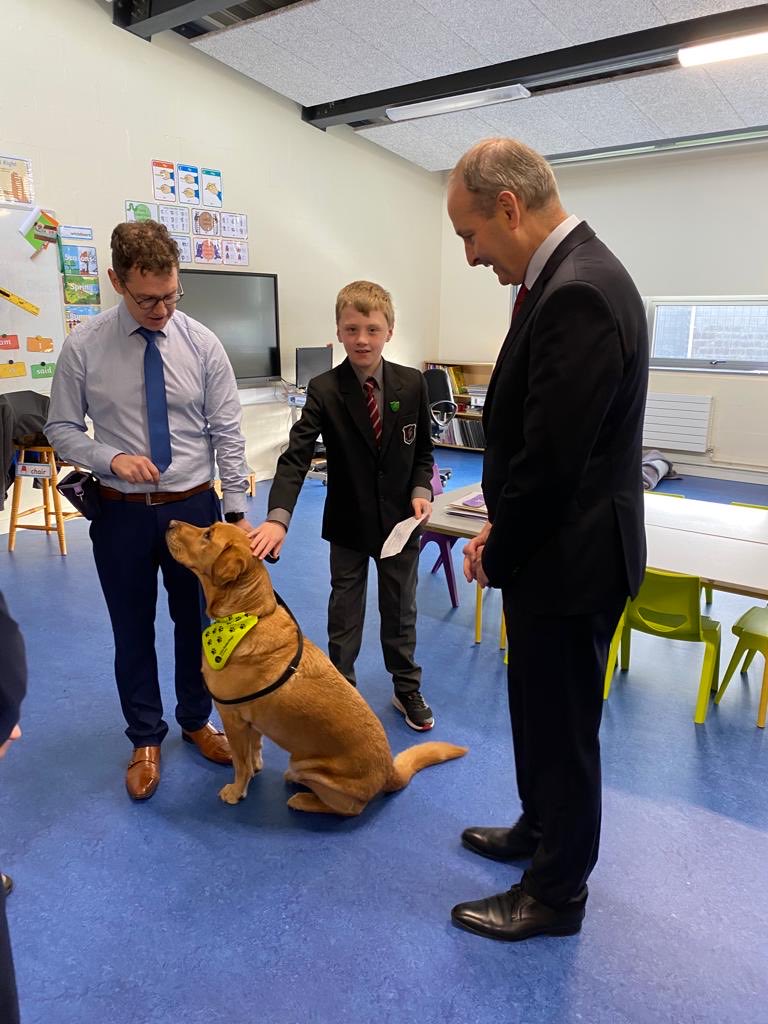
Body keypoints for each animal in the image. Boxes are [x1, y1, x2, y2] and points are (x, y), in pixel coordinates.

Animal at [165, 524, 466, 811]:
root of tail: (389, 772)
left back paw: (301, 800)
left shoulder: (232, 718)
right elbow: (254, 750)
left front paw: (236, 791)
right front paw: (256, 767)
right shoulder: (251, 721)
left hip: (307, 767)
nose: (170, 523)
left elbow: (241, 763)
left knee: (349, 809)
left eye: (208, 534)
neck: (248, 615)